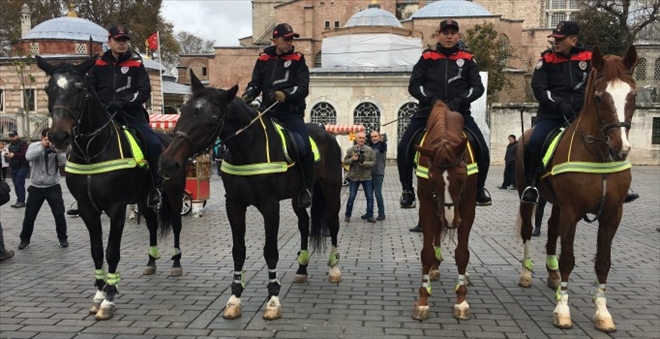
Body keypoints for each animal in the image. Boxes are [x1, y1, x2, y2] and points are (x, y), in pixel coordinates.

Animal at [36, 55, 187, 322]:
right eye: (47, 89)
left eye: (80, 89)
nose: (59, 136)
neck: (92, 152)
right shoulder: (88, 209)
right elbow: (97, 251)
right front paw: (98, 294)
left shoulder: (116, 209)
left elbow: (112, 251)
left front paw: (109, 296)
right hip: (143, 199)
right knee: (151, 223)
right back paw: (151, 260)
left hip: (174, 193)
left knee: (177, 225)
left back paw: (176, 263)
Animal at [410, 101, 476, 322]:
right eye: (432, 178)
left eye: (462, 177)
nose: (450, 220)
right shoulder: (427, 206)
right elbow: (427, 253)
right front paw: (423, 301)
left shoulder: (468, 209)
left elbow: (462, 253)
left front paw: (461, 300)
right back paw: (434, 268)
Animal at [512, 43, 636, 334]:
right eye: (600, 98)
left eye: (633, 95)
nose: (620, 148)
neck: (598, 156)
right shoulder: (571, 211)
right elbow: (568, 258)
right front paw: (562, 310)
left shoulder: (612, 215)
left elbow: (603, 262)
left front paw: (602, 312)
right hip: (528, 197)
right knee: (528, 230)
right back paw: (526, 273)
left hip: (557, 204)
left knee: (551, 231)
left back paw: (553, 275)